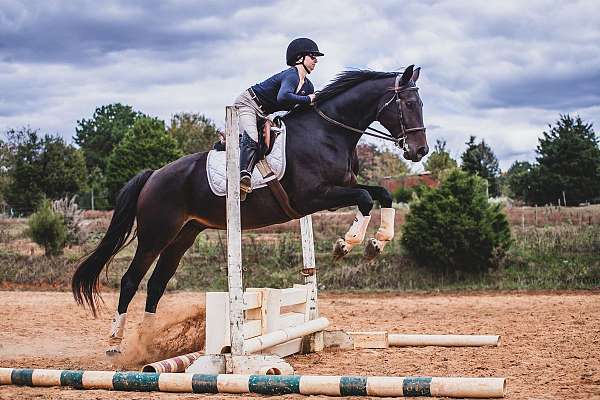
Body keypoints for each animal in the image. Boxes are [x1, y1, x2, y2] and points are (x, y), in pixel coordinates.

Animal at [71, 63, 426, 354]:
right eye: (409, 104)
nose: (419, 151)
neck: (328, 133)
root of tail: (153, 175)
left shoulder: (341, 188)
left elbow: (383, 194)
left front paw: (378, 242)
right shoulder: (314, 197)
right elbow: (366, 199)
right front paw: (346, 244)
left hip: (184, 234)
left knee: (157, 282)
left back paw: (147, 343)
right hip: (156, 234)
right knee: (131, 280)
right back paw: (116, 343)